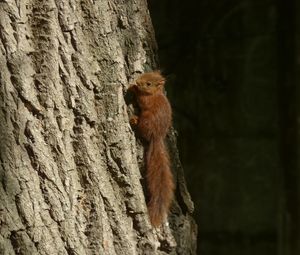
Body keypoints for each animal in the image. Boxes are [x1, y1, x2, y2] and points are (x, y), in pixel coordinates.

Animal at [127, 70, 175, 226]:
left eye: (148, 84)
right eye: (145, 73)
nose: (138, 81)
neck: (155, 93)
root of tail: (157, 136)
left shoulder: (148, 101)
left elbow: (142, 100)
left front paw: (133, 88)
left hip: (146, 122)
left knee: (141, 129)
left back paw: (134, 121)